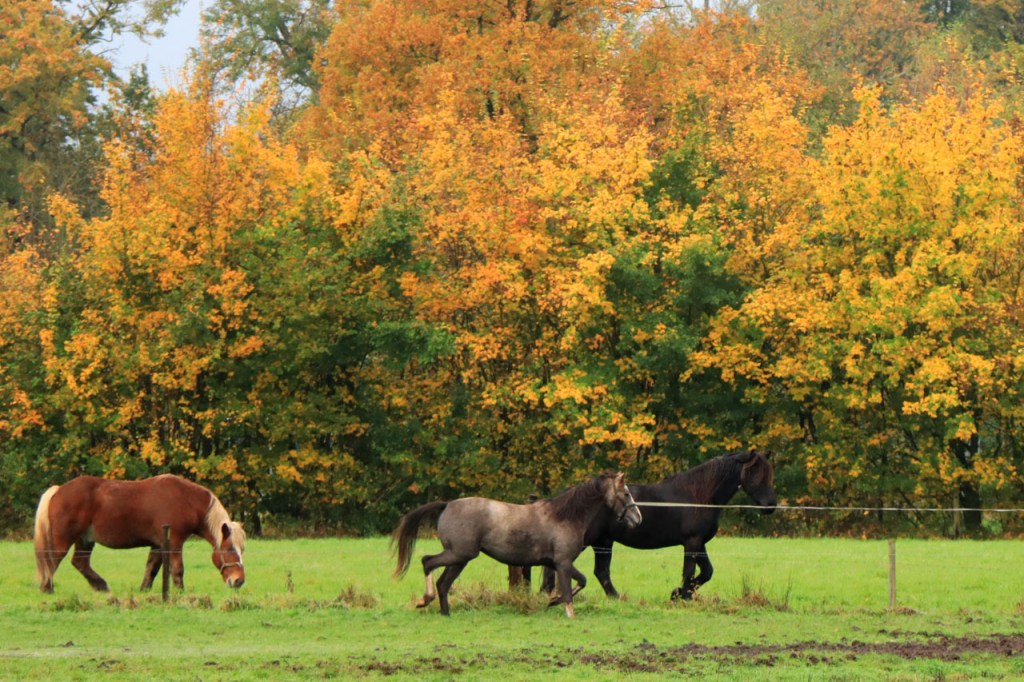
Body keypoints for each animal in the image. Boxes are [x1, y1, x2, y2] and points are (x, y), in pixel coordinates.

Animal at [34, 474, 246, 593]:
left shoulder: (159, 545)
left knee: (80, 563)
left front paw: (144, 589)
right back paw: (47, 588)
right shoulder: (174, 542)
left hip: (85, 540)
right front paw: (181, 592)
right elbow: (177, 569)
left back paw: (100, 586)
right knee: (52, 562)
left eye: (242, 550)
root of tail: (59, 490)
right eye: (229, 550)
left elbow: (151, 569)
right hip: (63, 541)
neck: (185, 500)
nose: (239, 581)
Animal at [392, 472, 642, 618]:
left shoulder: (558, 563)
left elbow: (581, 581)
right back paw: (425, 600)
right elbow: (572, 589)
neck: (565, 516)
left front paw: (553, 601)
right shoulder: (562, 563)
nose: (637, 518)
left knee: (443, 583)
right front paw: (565, 609)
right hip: (459, 554)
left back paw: (445, 613)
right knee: (427, 563)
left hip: (460, 558)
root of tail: (447, 505)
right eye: (626, 493)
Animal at [586, 449, 776, 601]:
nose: (771, 505)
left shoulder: (699, 542)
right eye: (753, 471)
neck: (699, 497)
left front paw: (678, 593)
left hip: (603, 542)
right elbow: (689, 572)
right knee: (601, 571)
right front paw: (683, 597)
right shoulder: (692, 541)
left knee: (601, 572)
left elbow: (707, 572)